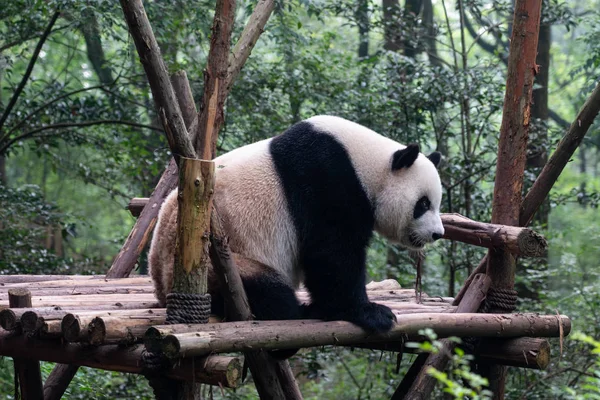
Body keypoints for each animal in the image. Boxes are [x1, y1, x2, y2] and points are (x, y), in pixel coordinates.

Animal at [148, 116, 442, 338]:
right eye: (423, 203)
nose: (437, 234)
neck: (367, 164)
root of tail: (161, 288)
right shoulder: (326, 180)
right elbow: (332, 254)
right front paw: (372, 313)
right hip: (220, 266)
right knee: (267, 290)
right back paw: (306, 311)